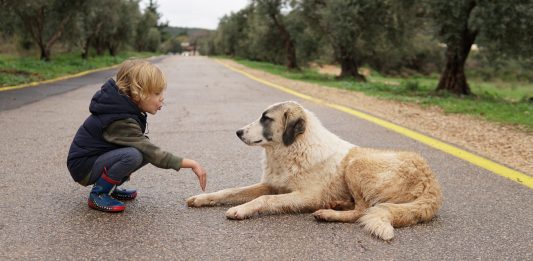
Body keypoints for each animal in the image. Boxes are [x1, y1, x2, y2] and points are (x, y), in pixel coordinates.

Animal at [185, 100, 442, 239]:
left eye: (266, 119)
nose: (238, 132)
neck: (291, 149)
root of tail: (432, 182)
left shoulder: (305, 196)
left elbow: (265, 200)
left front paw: (241, 210)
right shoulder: (271, 184)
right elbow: (230, 191)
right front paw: (202, 198)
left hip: (355, 164)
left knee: (363, 210)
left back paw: (328, 213)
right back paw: (337, 204)